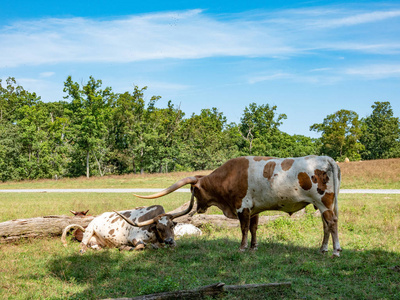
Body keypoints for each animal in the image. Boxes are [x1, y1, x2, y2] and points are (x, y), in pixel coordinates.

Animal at [61, 195, 195, 253]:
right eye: (159, 228)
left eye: (172, 226)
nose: (168, 240)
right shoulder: (134, 238)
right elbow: (140, 246)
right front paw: (125, 247)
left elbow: (174, 245)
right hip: (89, 231)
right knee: (82, 245)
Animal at [133, 156, 342, 256]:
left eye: (195, 191)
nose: (198, 208)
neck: (228, 176)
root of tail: (327, 158)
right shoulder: (255, 208)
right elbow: (254, 228)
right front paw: (253, 247)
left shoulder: (243, 207)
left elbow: (243, 228)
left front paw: (242, 248)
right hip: (322, 205)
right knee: (326, 226)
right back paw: (323, 249)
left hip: (324, 202)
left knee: (332, 223)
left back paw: (336, 250)